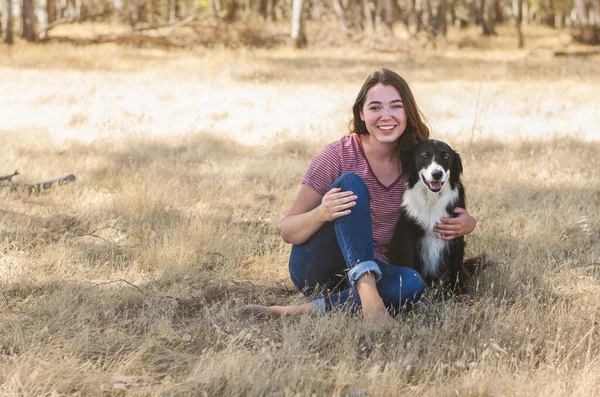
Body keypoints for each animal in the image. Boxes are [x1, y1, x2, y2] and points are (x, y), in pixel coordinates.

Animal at [392, 139, 472, 290]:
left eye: (446, 157)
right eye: (425, 156)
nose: (437, 174)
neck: (432, 198)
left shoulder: (456, 238)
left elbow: (456, 272)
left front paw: (459, 292)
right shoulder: (408, 238)